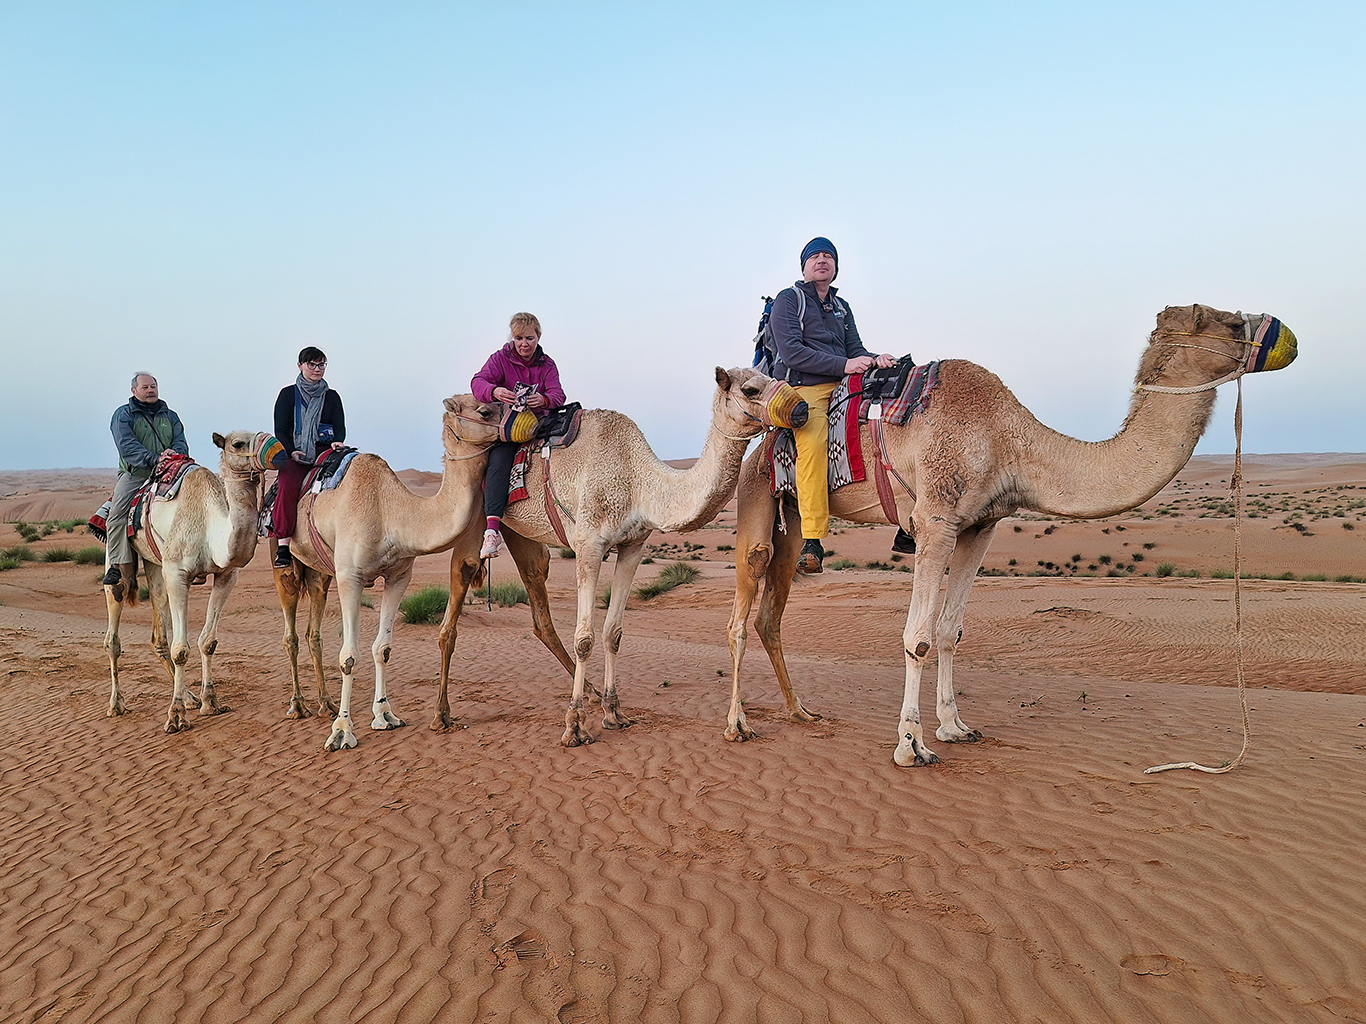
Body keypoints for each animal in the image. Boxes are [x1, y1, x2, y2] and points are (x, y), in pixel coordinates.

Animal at [103, 428, 282, 731]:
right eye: (237, 443)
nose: (279, 450)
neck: (211, 527)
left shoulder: (226, 574)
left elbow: (208, 642)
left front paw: (210, 702)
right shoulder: (178, 574)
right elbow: (181, 650)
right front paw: (175, 717)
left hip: (155, 564)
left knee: (158, 634)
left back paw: (188, 697)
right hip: (118, 556)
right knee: (114, 633)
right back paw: (117, 705)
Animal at [271, 393, 576, 753]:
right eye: (485, 409)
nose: (538, 420)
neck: (390, 511)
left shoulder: (398, 575)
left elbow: (383, 648)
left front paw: (385, 715)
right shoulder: (351, 576)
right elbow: (348, 656)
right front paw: (342, 731)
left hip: (319, 573)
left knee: (313, 633)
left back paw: (325, 703)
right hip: (286, 561)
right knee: (290, 634)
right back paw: (298, 705)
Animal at [431, 365, 803, 748]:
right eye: (750, 389)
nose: (802, 409)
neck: (640, 483)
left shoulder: (633, 545)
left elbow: (613, 631)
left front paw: (613, 712)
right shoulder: (588, 544)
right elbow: (584, 638)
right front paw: (574, 726)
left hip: (521, 533)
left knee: (539, 602)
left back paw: (592, 693)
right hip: (475, 506)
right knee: (460, 586)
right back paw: (441, 716)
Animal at [721, 300, 1294, 764]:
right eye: (1229, 322)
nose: (1286, 335)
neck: (1010, 441)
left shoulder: (981, 524)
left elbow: (949, 630)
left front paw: (954, 727)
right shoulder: (935, 519)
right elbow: (917, 636)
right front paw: (911, 746)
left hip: (793, 521)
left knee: (771, 614)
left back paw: (800, 712)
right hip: (755, 494)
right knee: (746, 602)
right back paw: (738, 725)